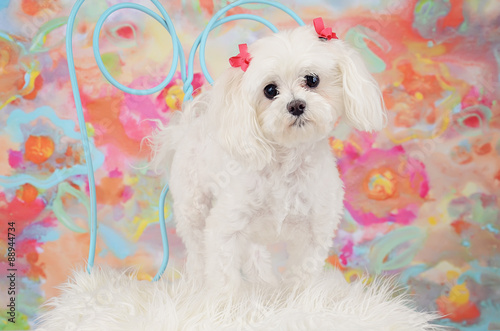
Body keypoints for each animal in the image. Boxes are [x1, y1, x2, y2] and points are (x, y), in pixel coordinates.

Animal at [149, 18, 386, 290]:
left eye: (312, 79)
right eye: (270, 90)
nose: (296, 105)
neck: (287, 164)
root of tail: (186, 128)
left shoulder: (315, 232)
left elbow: (301, 277)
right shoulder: (225, 228)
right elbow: (224, 277)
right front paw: (223, 300)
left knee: (253, 253)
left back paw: (263, 283)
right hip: (194, 208)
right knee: (198, 252)